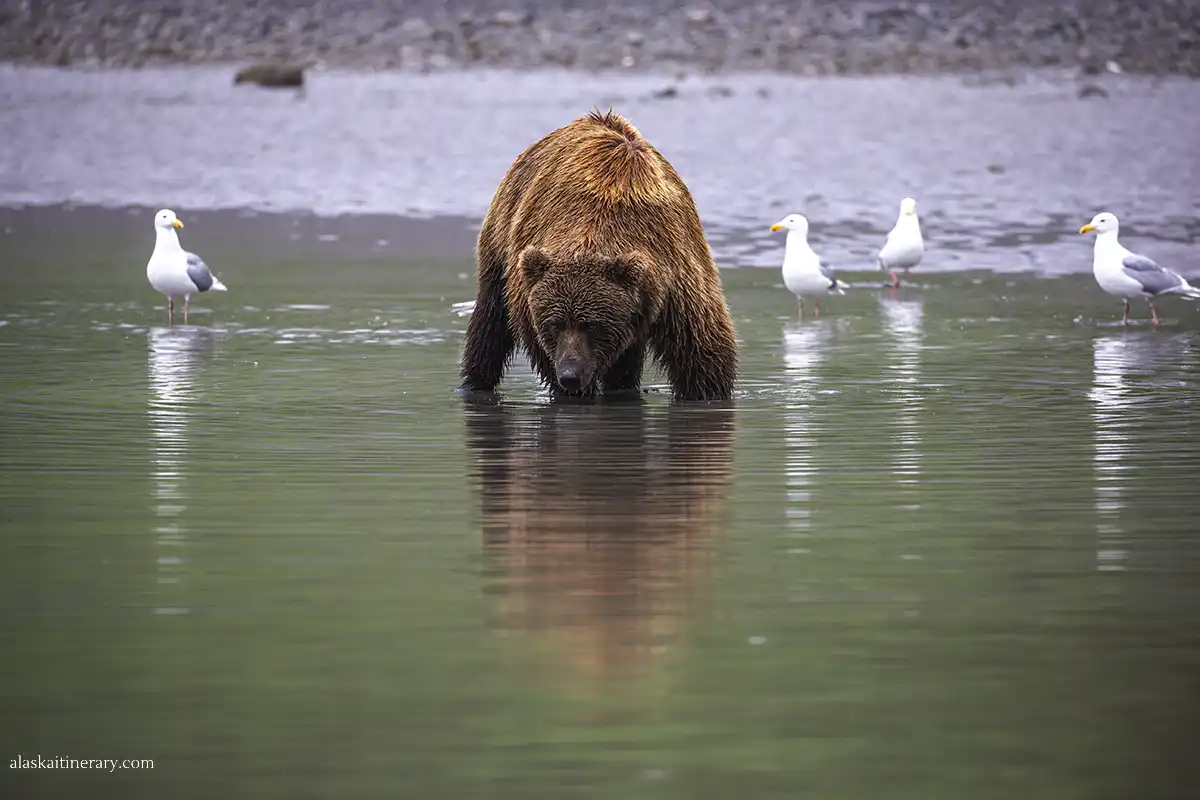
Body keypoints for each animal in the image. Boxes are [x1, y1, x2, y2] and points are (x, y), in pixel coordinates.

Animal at [459, 109, 739, 401]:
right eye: (555, 324)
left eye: (591, 325)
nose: (570, 375)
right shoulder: (528, 291)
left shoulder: (674, 269)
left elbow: (701, 348)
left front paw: (707, 393)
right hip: (500, 242)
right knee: (491, 319)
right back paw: (474, 383)